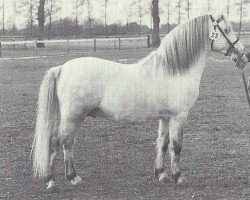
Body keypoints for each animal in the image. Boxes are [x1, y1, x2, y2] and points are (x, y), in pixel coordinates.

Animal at [31, 13, 244, 191]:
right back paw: (55, 181)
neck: (175, 71)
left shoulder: (165, 117)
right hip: (73, 117)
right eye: (226, 29)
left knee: (67, 144)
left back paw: (71, 178)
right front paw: (178, 177)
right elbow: (176, 146)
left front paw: (162, 175)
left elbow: (163, 143)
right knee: (58, 143)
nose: (242, 53)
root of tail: (62, 68)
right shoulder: (179, 117)